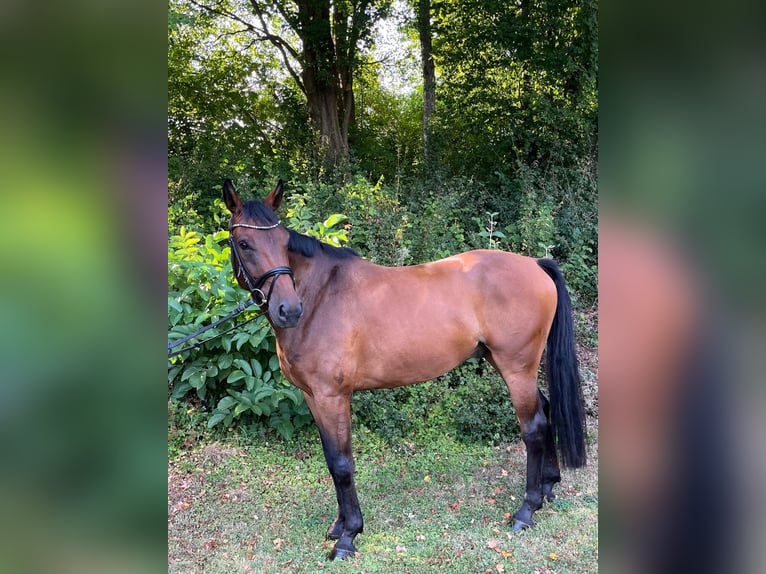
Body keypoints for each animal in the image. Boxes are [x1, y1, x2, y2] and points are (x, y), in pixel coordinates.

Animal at [222, 181, 588, 564]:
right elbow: (330, 459)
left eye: (283, 242)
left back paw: (526, 511)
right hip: (513, 365)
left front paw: (349, 536)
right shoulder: (313, 397)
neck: (321, 296)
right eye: (244, 243)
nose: (289, 310)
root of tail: (534, 263)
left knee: (533, 427)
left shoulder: (332, 396)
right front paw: (339, 526)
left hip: (517, 367)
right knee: (545, 410)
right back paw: (547, 487)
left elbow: (342, 463)